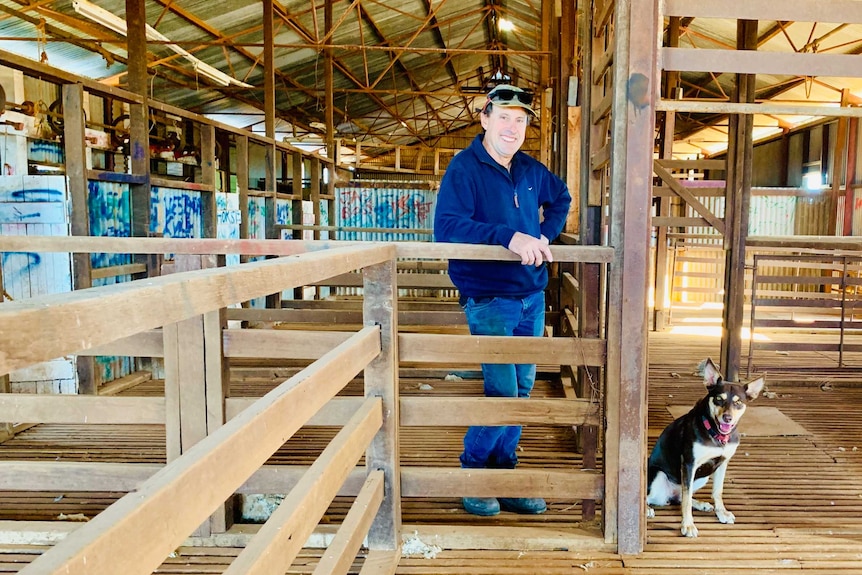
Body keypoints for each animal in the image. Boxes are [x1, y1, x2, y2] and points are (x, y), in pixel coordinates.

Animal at [652, 358, 768, 536]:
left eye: (738, 402)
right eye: (719, 399)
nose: (727, 418)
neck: (717, 435)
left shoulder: (722, 463)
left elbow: (717, 491)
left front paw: (721, 512)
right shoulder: (689, 464)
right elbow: (686, 499)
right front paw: (688, 525)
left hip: (702, 477)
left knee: (679, 497)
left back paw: (700, 504)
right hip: (659, 475)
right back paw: (647, 509)